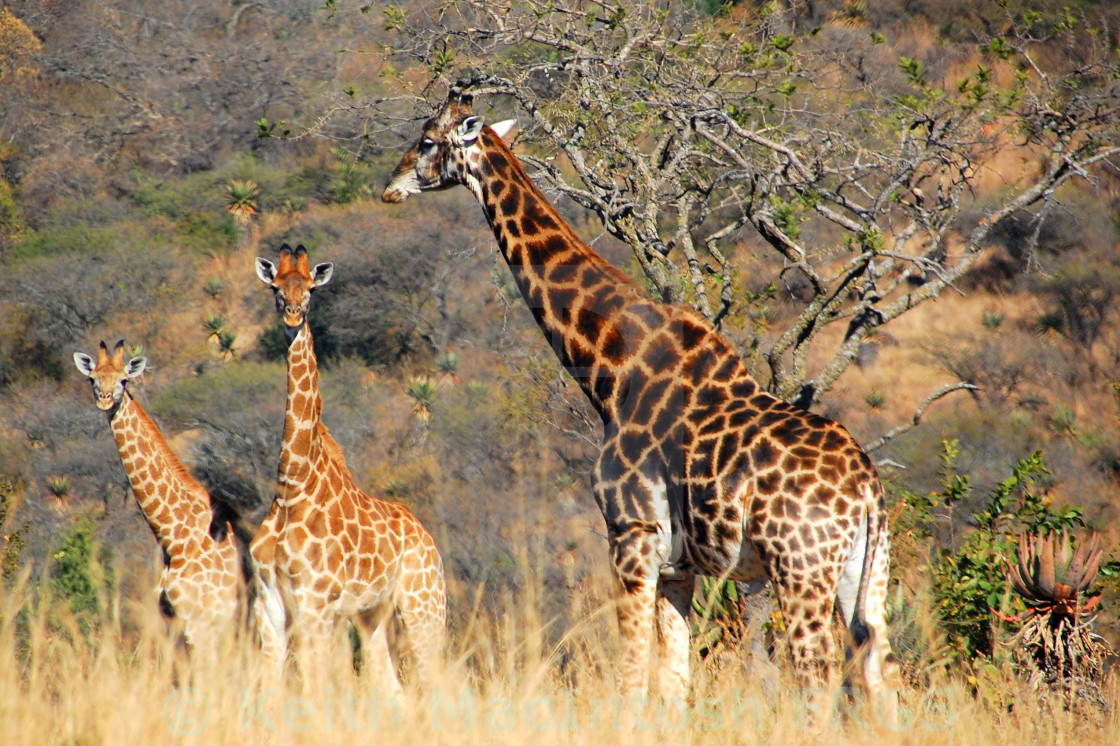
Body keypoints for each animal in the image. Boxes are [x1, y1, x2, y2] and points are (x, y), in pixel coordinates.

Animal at [74, 340, 243, 649]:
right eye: (92, 379)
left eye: (124, 380)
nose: (104, 399)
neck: (174, 538)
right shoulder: (174, 624)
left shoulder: (203, 627)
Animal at [252, 244, 448, 689]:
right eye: (275, 287)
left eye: (310, 288)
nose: (292, 315)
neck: (291, 486)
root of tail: (429, 540)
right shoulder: (270, 605)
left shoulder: (315, 605)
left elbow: (316, 688)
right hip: (372, 617)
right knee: (394, 689)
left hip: (424, 606)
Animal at [385, 90, 900, 707]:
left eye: (427, 141)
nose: (389, 187)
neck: (612, 372)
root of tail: (866, 489)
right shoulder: (678, 568)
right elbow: (673, 684)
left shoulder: (629, 539)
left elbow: (631, 680)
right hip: (865, 572)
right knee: (881, 671)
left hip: (799, 568)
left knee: (818, 674)